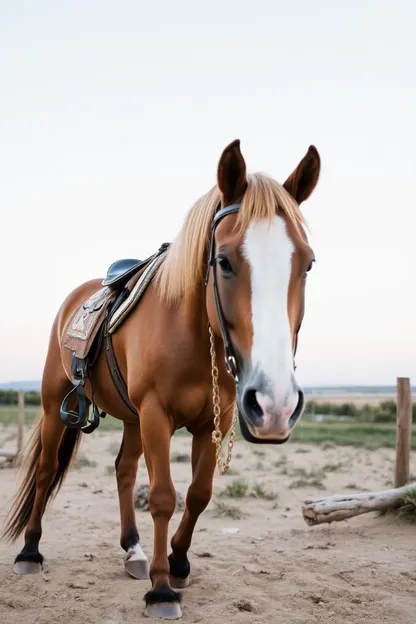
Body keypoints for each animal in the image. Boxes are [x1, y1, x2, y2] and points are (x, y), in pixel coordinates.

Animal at [3, 138, 320, 620]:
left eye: (307, 264)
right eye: (224, 262)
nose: (275, 404)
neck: (193, 333)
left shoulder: (212, 422)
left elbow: (199, 493)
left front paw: (178, 562)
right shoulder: (157, 415)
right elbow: (163, 496)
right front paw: (161, 588)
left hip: (132, 419)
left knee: (123, 470)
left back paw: (133, 551)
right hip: (58, 405)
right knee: (45, 470)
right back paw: (30, 552)